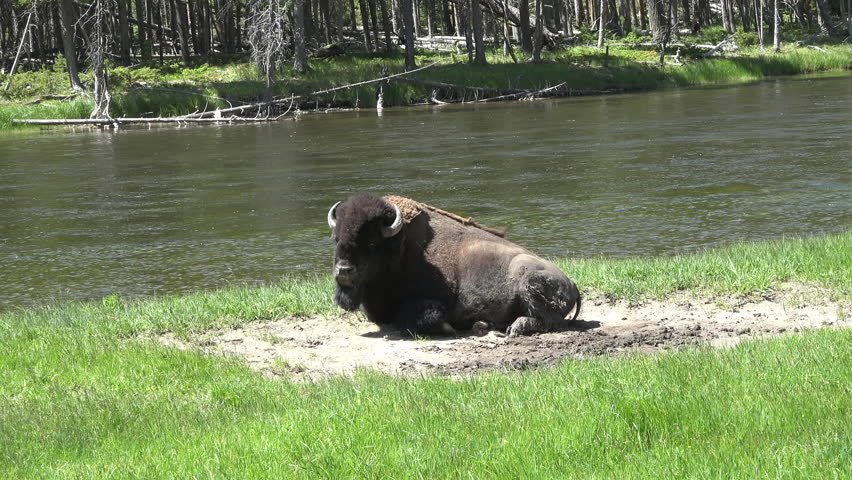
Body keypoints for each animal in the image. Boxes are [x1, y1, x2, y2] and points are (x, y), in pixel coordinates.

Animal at [326, 194, 581, 337]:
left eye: (371, 242)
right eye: (336, 238)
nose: (343, 271)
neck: (402, 246)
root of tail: (572, 283)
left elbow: (416, 318)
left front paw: (448, 328)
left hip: (529, 279)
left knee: (550, 321)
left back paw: (514, 328)